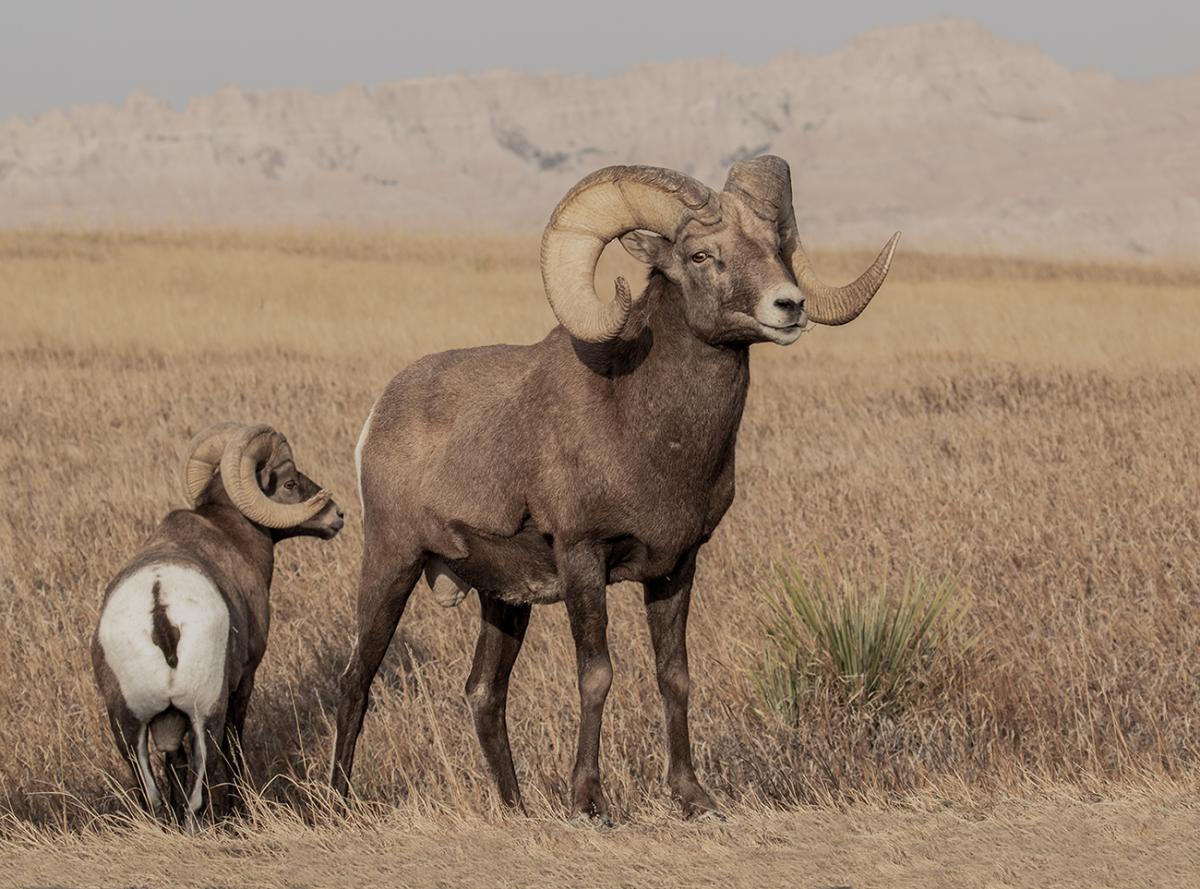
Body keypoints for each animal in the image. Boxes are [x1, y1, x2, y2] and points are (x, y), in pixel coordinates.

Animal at [92, 423, 343, 828]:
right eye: (290, 483)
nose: (338, 516)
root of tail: (159, 605)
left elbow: (174, 765)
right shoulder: (244, 680)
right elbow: (234, 748)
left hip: (128, 729)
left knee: (152, 800)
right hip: (204, 713)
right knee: (199, 791)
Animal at [330, 155, 899, 819]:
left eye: (774, 246)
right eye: (701, 255)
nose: (789, 306)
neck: (643, 426)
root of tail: (378, 416)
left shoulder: (677, 567)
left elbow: (674, 674)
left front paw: (692, 797)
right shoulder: (584, 559)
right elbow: (597, 675)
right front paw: (589, 800)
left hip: (505, 600)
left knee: (484, 694)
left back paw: (517, 809)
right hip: (391, 564)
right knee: (357, 680)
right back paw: (338, 804)